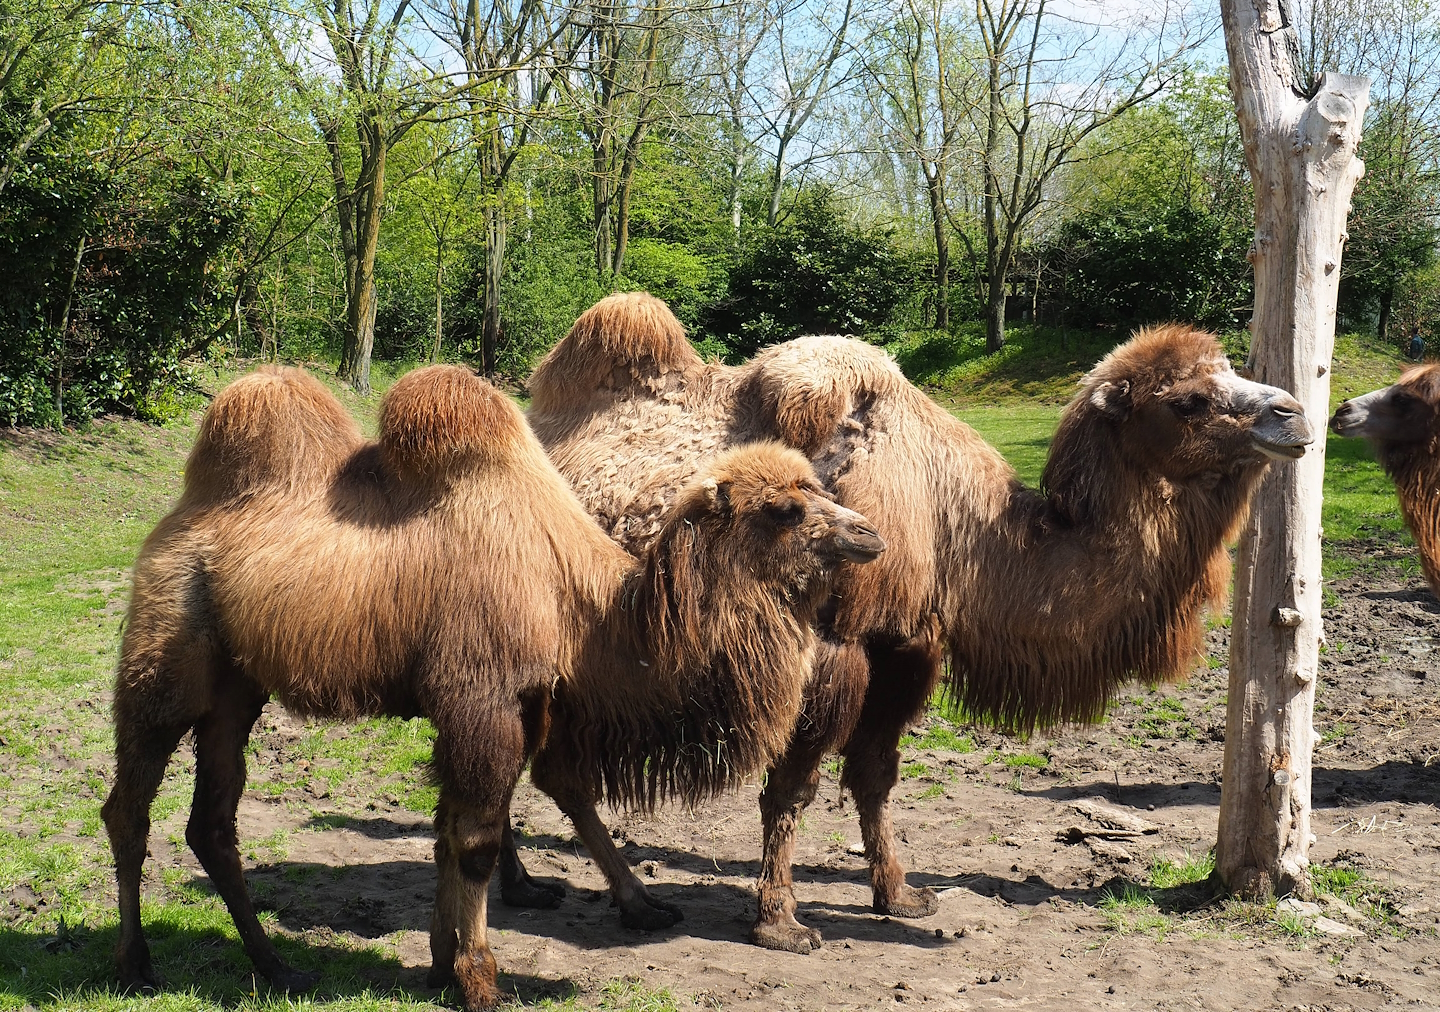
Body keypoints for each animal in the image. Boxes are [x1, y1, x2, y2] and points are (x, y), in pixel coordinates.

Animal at [101, 363, 884, 1011]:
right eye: (784, 509)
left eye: (817, 487)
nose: (870, 535)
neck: (581, 613)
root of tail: (178, 518)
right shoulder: (482, 699)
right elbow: (473, 839)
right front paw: (480, 980)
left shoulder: (517, 705)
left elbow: (452, 829)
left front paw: (441, 966)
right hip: (164, 656)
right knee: (128, 805)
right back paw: (135, 965)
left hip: (236, 690)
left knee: (212, 822)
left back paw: (276, 965)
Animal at [514, 292, 1314, 952]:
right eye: (1188, 400)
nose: (1294, 413)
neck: (954, 527)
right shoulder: (835, 643)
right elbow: (792, 788)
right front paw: (780, 922)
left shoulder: (905, 645)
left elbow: (875, 775)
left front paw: (900, 896)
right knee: (546, 764)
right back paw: (626, 899)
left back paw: (542, 887)